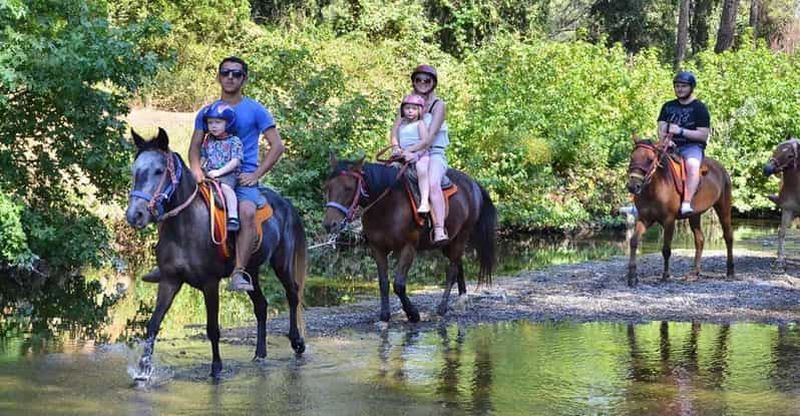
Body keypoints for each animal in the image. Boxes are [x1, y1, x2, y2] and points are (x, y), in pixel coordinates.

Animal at [125, 128, 306, 380]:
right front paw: (143, 370)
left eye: (159, 171)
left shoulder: (210, 283)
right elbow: (153, 324)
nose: (135, 215)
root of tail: (285, 203)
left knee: (293, 294)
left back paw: (297, 342)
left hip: (282, 263)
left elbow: (212, 328)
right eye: (135, 170)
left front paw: (216, 368)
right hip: (250, 272)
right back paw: (260, 353)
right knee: (261, 305)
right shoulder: (170, 281)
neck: (186, 226)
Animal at [322, 154, 496, 322]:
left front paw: (413, 314)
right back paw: (462, 299)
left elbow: (399, 285)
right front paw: (385, 315)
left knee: (452, 271)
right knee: (458, 265)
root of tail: (473, 183)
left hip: (461, 237)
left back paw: (442, 308)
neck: (387, 205)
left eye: (348, 188)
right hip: (449, 242)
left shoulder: (408, 247)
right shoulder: (377, 248)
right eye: (328, 187)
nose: (330, 224)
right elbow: (383, 282)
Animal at [626, 137, 734, 287]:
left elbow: (666, 249)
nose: (632, 186)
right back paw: (694, 273)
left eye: (650, 159)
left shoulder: (669, 221)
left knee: (728, 237)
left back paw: (730, 272)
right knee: (700, 239)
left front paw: (665, 275)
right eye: (632, 157)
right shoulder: (644, 219)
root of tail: (722, 169)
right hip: (695, 215)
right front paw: (632, 276)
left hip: (723, 208)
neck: (654, 188)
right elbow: (633, 241)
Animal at [763, 137, 800, 270]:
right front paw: (779, 261)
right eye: (775, 151)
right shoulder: (788, 210)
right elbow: (782, 233)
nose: (766, 169)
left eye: (790, 156)